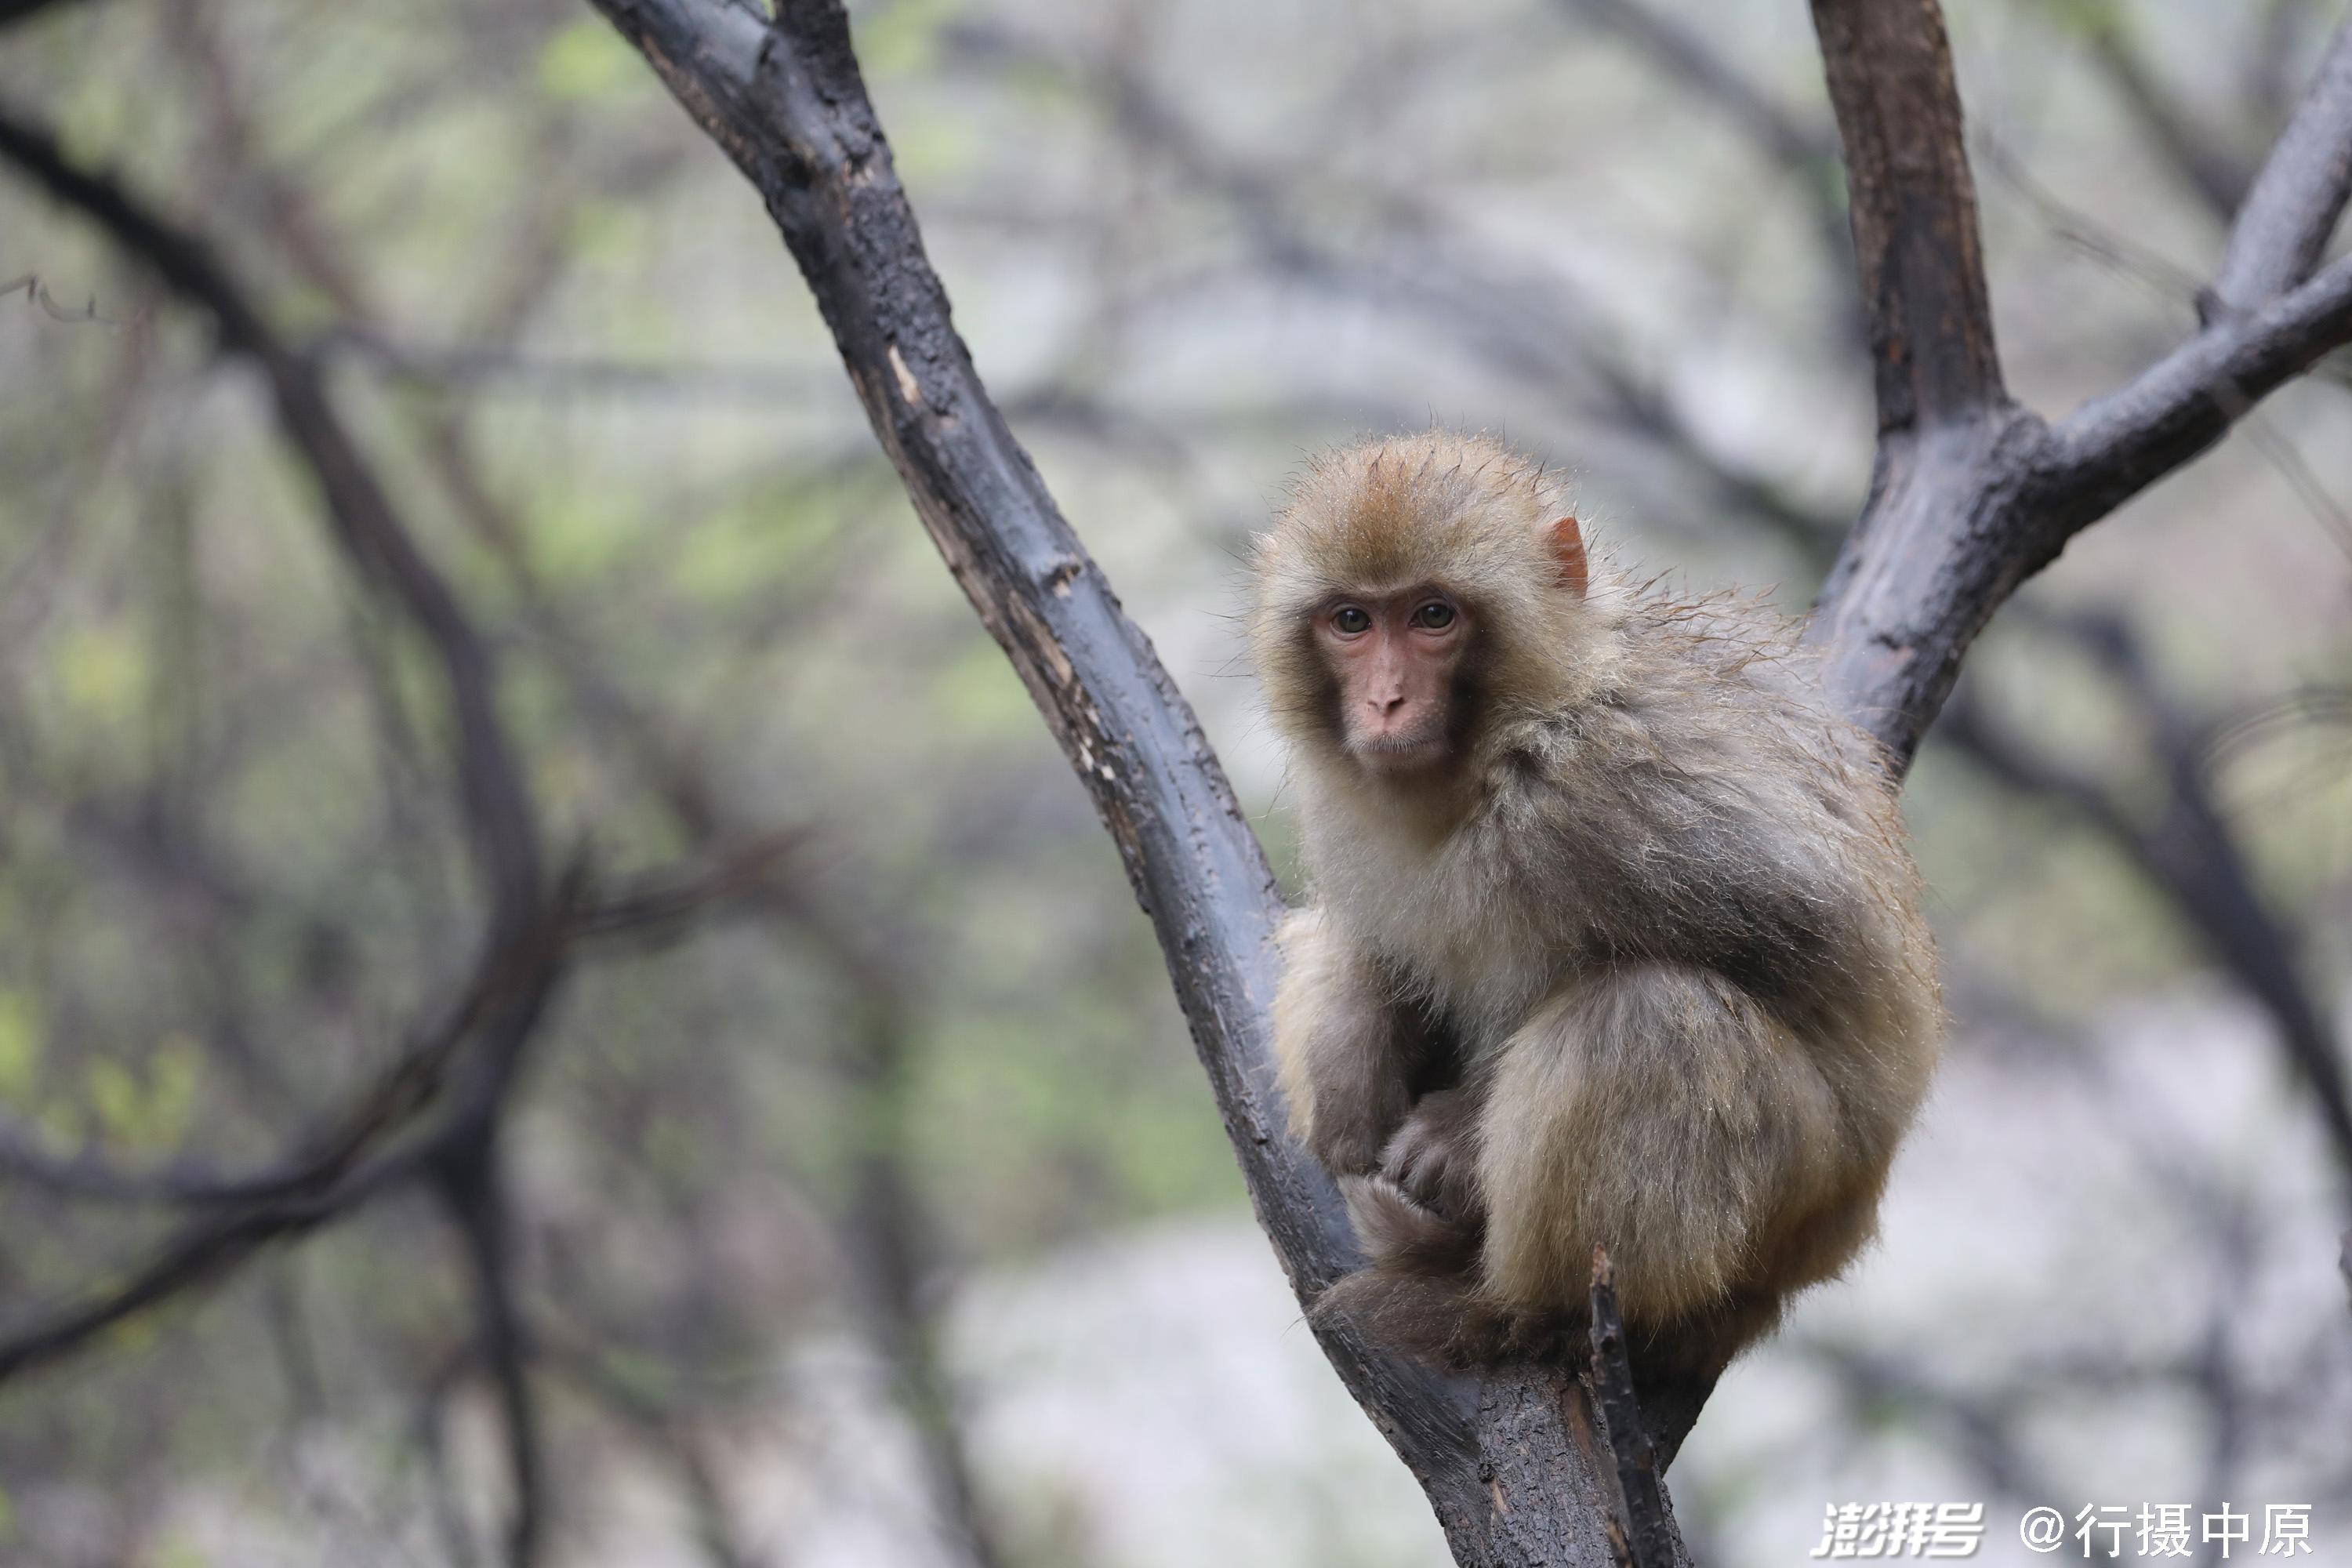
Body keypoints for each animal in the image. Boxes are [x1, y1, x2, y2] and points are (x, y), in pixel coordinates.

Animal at [1261, 430, 1938, 1373]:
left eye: (1434, 616)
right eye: (1352, 621)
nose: (1386, 701)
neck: (1507, 740)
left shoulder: (1621, 788)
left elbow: (1813, 943)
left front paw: (1456, 1137)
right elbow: (1372, 939)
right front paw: (1352, 1068)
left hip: (1795, 1198)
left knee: (1646, 1019)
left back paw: (1502, 1306)